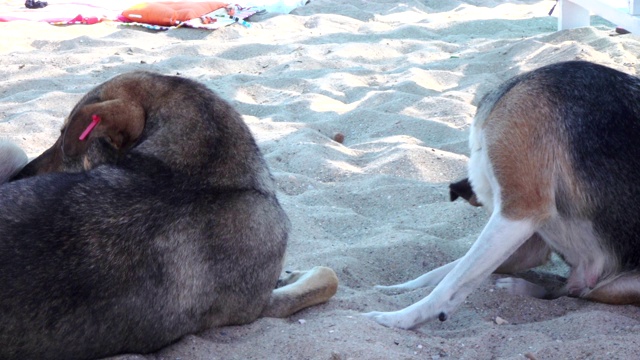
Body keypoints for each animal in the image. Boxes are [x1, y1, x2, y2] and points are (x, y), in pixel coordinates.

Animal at [364, 61, 640, 330]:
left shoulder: (520, 212)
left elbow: (453, 280)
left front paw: (399, 318)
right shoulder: (522, 233)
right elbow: (442, 271)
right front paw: (396, 289)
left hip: (614, 285)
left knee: (576, 292)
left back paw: (522, 287)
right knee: (567, 291)